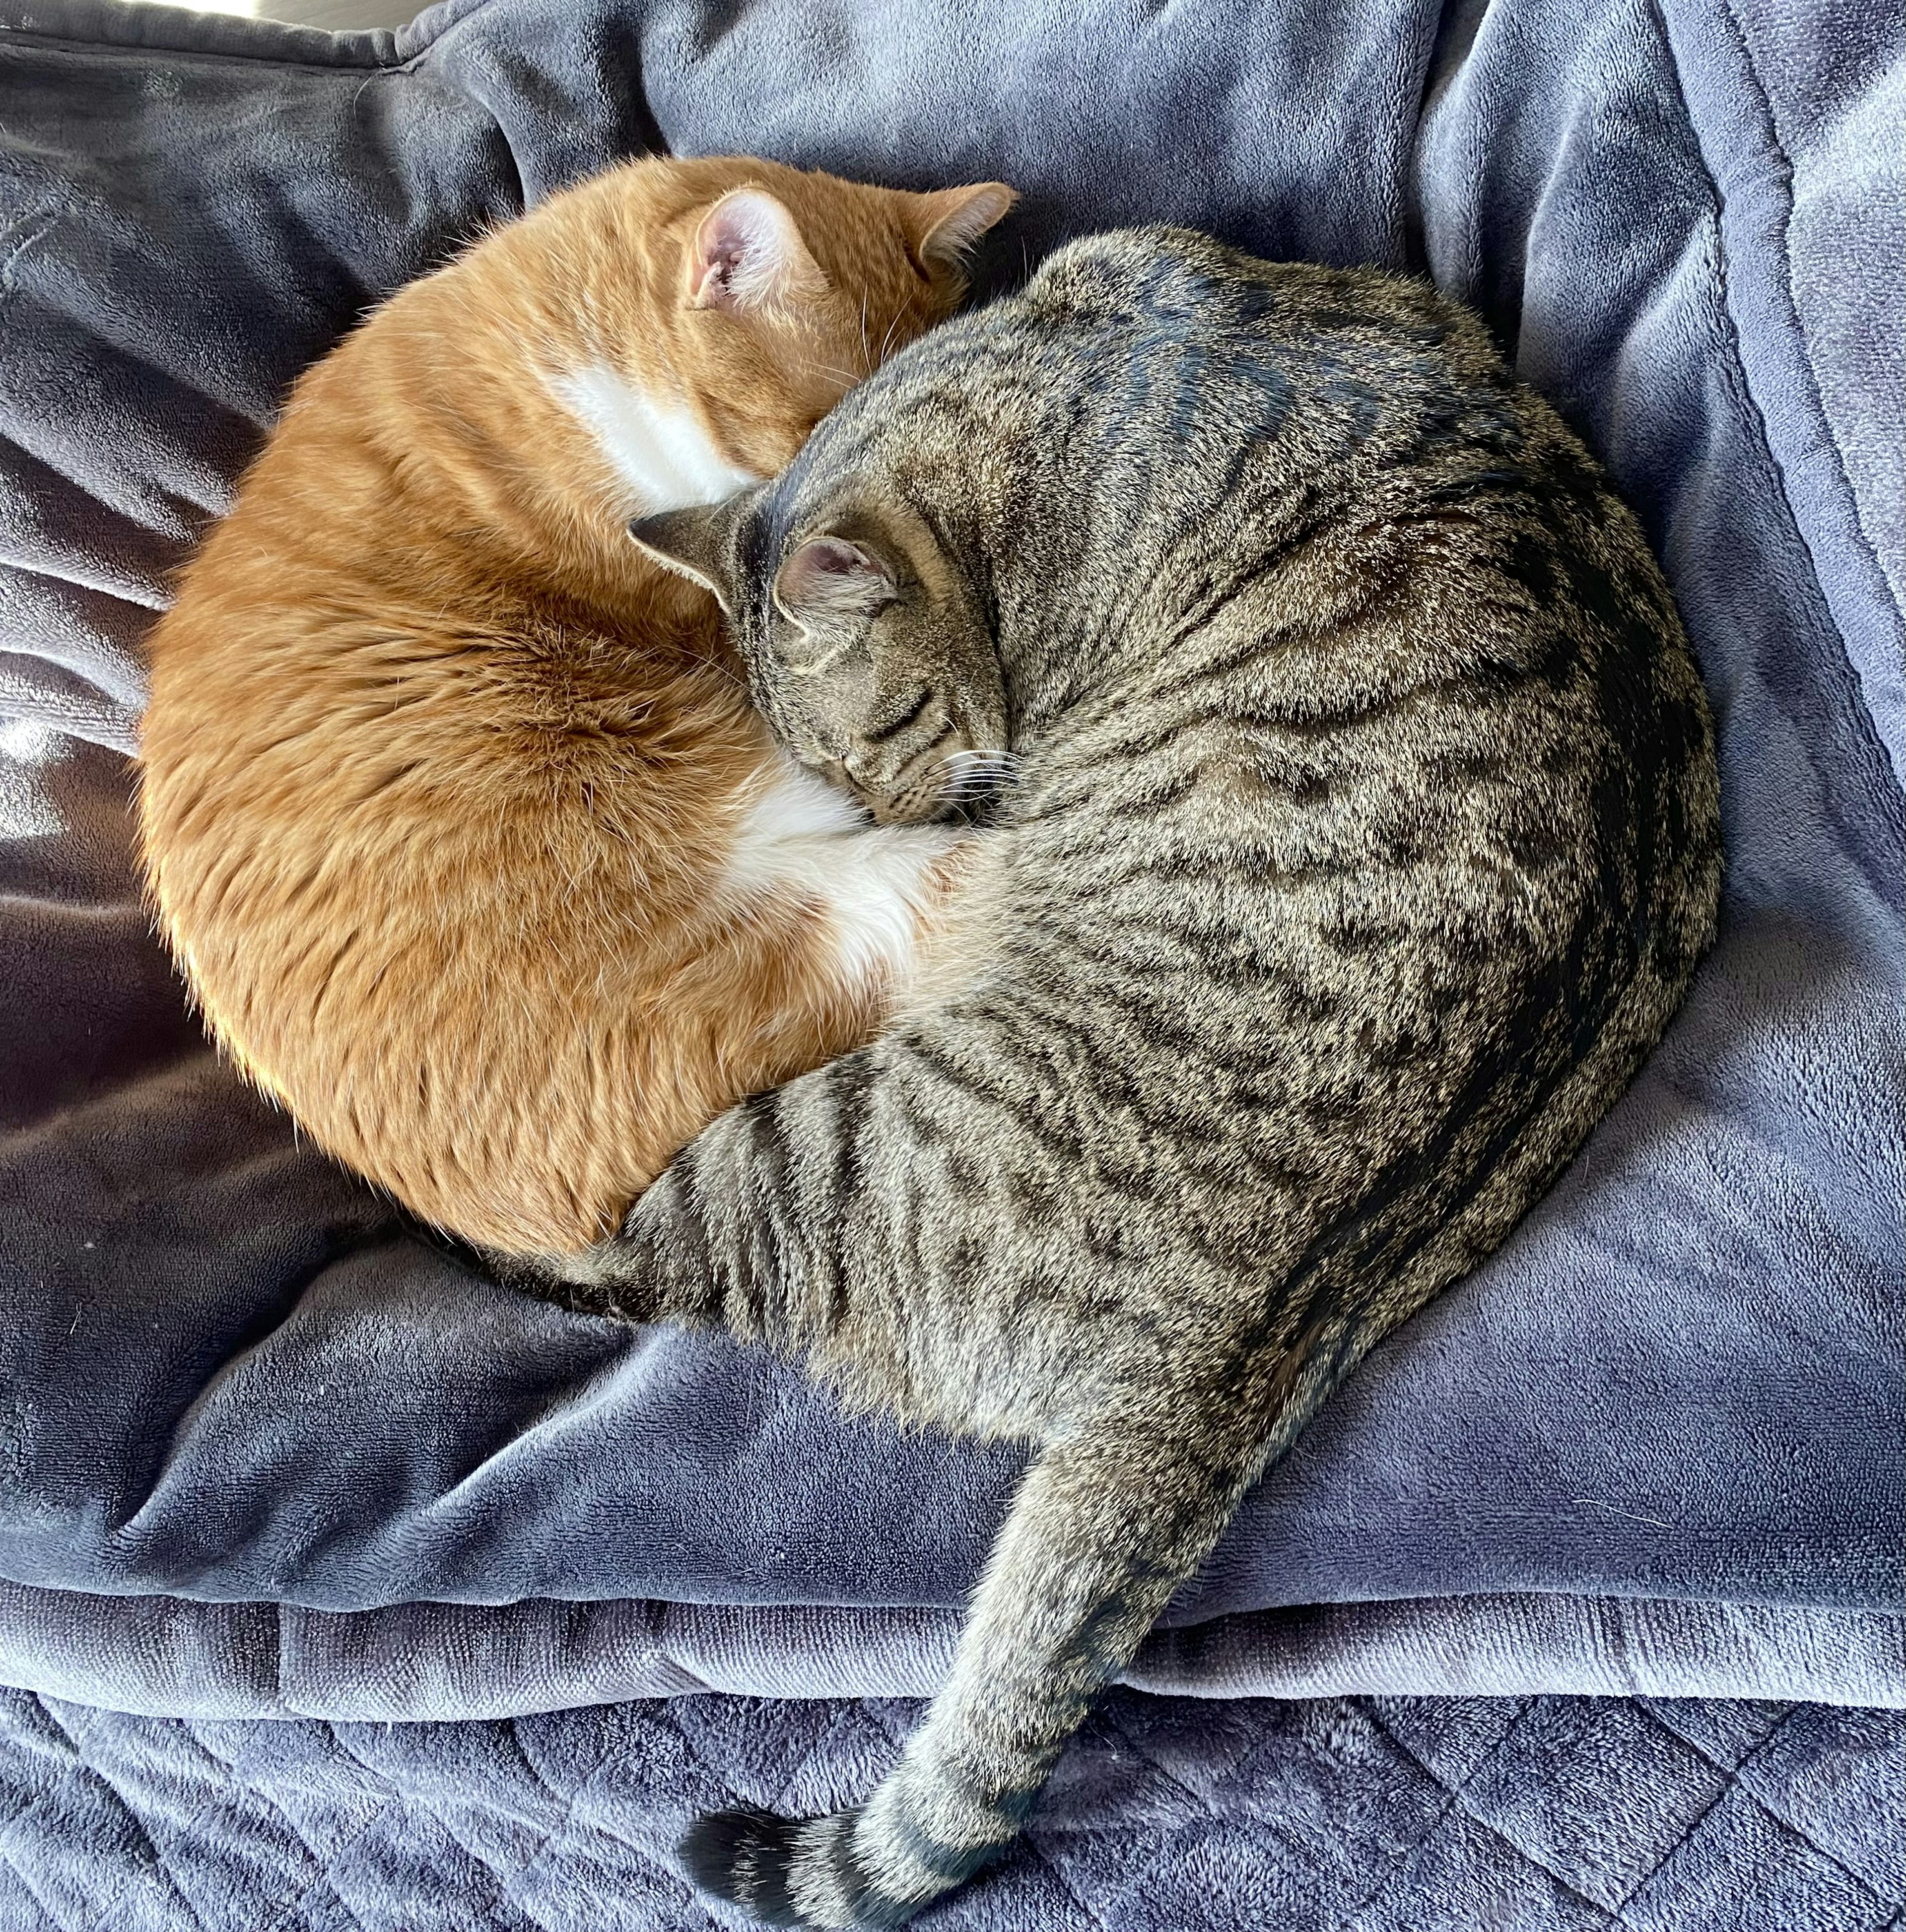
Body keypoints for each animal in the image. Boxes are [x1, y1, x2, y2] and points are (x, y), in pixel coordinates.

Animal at [510, 222, 1724, 1916]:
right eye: (833, 759)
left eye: (887, 723)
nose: (908, 813)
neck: (1077, 375)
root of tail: (1222, 1349)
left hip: (807, 1138)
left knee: (628, 1261)